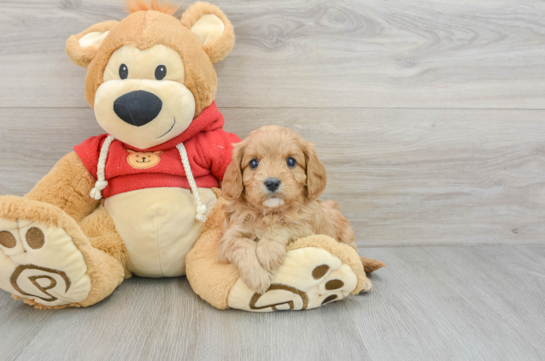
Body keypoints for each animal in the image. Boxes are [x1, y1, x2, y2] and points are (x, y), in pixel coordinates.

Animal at [219, 125, 364, 292]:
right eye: (253, 163)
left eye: (291, 161)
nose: (272, 183)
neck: (270, 212)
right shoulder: (228, 238)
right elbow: (241, 244)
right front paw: (257, 275)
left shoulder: (305, 229)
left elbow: (283, 225)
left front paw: (268, 251)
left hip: (347, 238)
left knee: (356, 260)